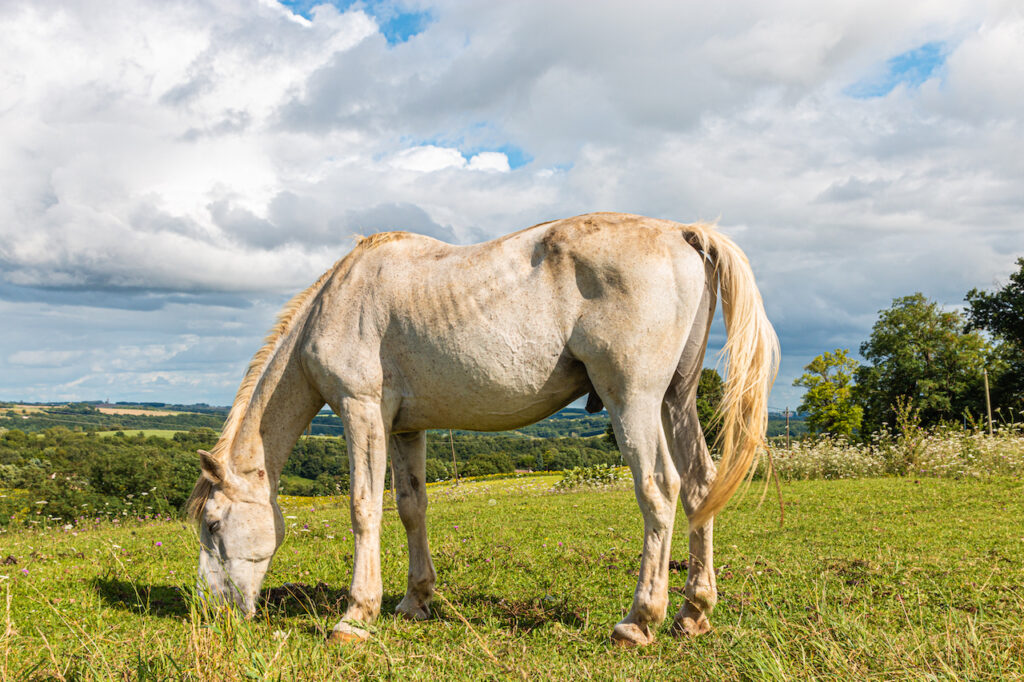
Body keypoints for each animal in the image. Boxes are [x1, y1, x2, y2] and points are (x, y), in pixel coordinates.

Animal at [187, 212, 778, 646]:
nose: (211, 611)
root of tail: (682, 232)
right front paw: (414, 601)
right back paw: (692, 613)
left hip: (633, 400)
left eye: (213, 524)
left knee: (660, 490)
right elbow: (410, 507)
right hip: (676, 400)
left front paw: (356, 616)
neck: (340, 298)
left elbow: (362, 507)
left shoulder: (361, 411)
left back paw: (640, 621)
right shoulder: (403, 429)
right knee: (700, 487)